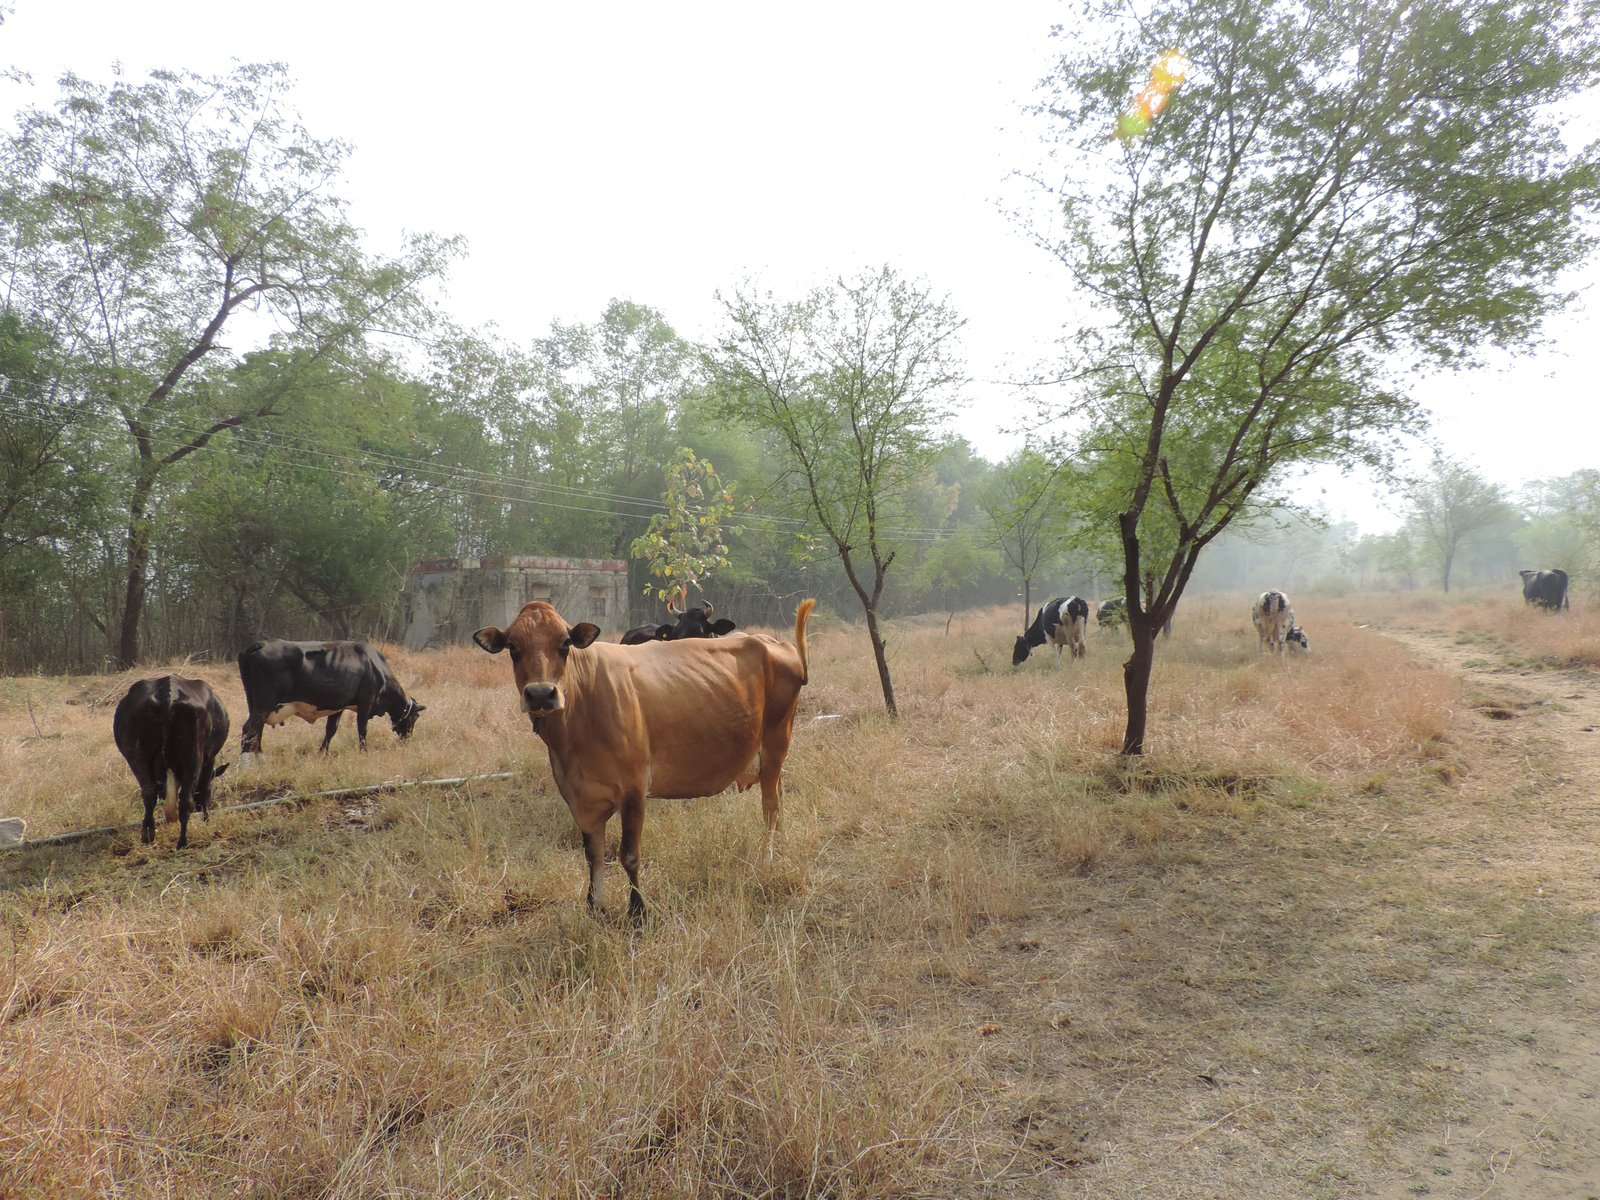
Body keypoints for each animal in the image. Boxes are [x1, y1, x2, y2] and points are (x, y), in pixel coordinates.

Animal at [112, 675, 230, 849]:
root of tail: (169, 693)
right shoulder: (209, 759)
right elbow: (204, 789)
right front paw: (207, 819)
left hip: (136, 758)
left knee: (149, 792)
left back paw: (147, 834)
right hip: (193, 758)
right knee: (185, 802)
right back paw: (182, 842)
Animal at [237, 639, 424, 759]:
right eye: (416, 717)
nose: (408, 738)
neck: (376, 666)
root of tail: (260, 644)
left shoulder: (338, 706)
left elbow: (331, 730)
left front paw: (323, 753)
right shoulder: (366, 702)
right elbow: (362, 729)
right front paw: (364, 752)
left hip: (256, 704)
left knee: (257, 730)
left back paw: (259, 757)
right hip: (264, 703)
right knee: (249, 728)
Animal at [473, 598, 815, 922]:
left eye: (565, 643)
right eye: (513, 647)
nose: (542, 694)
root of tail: (773, 642)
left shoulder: (634, 787)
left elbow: (629, 854)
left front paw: (638, 911)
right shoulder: (579, 794)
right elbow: (593, 854)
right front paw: (594, 907)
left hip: (776, 741)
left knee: (770, 807)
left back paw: (768, 859)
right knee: (778, 797)